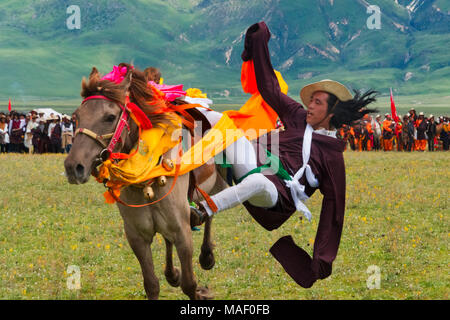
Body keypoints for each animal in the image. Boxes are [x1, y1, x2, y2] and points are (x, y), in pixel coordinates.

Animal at [63, 65, 229, 300]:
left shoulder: (182, 232)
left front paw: (200, 289)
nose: (73, 167)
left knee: (211, 211)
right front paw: (172, 276)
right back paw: (172, 273)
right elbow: (151, 284)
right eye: (75, 116)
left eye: (110, 117)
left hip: (217, 185)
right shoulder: (137, 237)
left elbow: (190, 284)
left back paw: (206, 255)